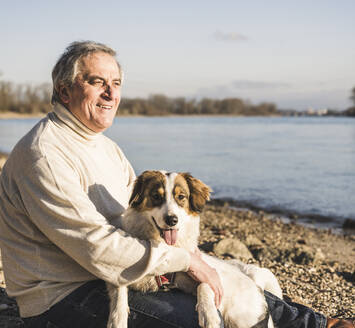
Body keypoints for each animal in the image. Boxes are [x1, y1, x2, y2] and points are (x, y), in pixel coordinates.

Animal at [106, 172, 284, 328]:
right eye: (156, 196)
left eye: (181, 197)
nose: (172, 220)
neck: (164, 245)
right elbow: (118, 289)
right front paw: (117, 319)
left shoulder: (201, 277)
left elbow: (205, 283)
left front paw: (209, 314)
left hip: (242, 316)